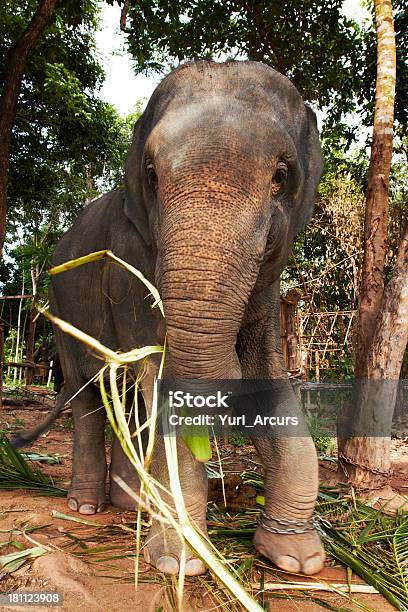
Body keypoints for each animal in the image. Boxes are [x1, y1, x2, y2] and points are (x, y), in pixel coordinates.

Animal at [47, 61, 324, 580]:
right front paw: (179, 562)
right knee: (91, 395)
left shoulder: (267, 286)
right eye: (152, 175)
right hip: (62, 311)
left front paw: (298, 558)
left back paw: (132, 505)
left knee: (129, 401)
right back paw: (87, 507)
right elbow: (161, 378)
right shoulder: (129, 263)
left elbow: (268, 377)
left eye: (280, 176)